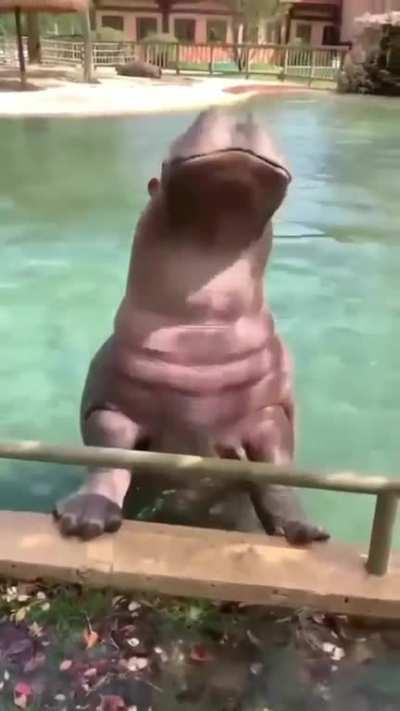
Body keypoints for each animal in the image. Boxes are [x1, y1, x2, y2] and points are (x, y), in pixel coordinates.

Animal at [54, 109, 329, 545]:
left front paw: (304, 532)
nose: (239, 110)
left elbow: (274, 469)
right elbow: (108, 456)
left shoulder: (270, 408)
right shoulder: (109, 405)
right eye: (154, 180)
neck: (200, 326)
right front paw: (85, 520)